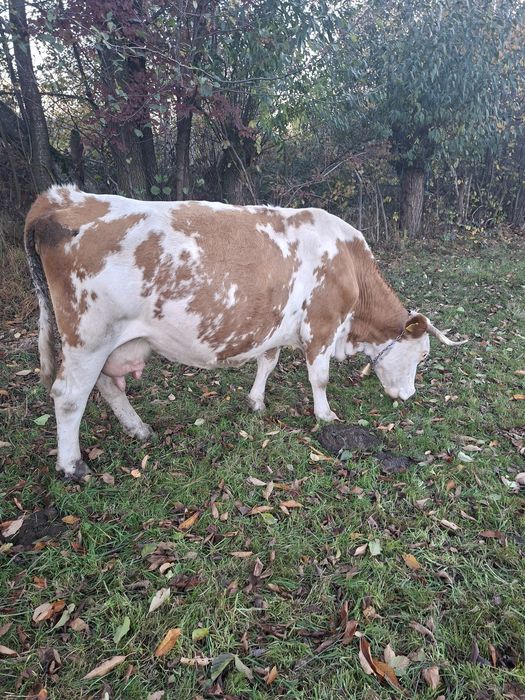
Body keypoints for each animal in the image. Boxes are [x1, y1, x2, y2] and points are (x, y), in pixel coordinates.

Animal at [25, 185, 465, 481]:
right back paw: (72, 465)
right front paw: (325, 416)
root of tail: (61, 197)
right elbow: (319, 378)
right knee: (69, 397)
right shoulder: (321, 324)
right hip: (88, 336)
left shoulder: (276, 326)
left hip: (106, 343)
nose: (409, 395)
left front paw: (256, 401)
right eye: (422, 355)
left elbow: (267, 361)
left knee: (107, 387)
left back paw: (138, 429)